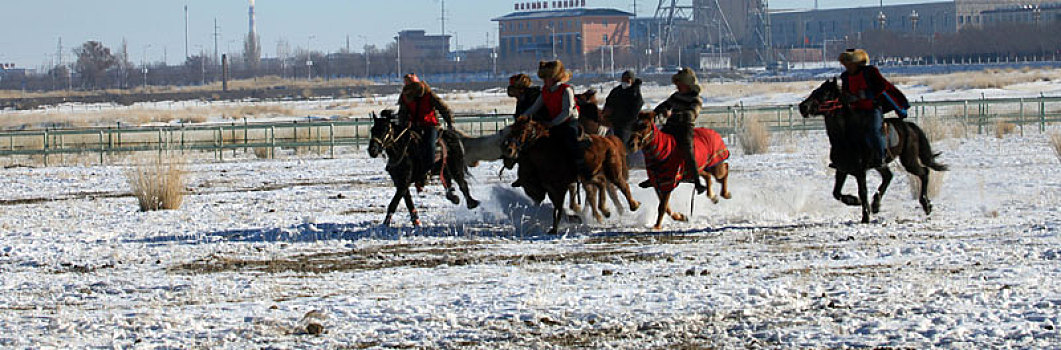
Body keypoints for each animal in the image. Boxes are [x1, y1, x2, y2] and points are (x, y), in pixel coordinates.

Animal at [498, 117, 636, 235]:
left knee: (623, 187)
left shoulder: (560, 187)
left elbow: (558, 209)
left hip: (612, 173)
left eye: (522, 131)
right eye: (512, 130)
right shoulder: (552, 189)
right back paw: (605, 211)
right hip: (592, 175)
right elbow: (558, 208)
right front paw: (560, 225)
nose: (508, 150)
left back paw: (632, 206)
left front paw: (556, 228)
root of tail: (609, 140)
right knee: (602, 185)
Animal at [797, 78, 950, 222]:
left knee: (924, 172)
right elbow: (836, 193)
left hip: (908, 160)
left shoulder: (860, 172)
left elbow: (862, 192)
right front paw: (854, 201)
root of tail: (909, 126)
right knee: (888, 176)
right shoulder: (841, 170)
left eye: (824, 94)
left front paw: (865, 217)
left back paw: (926, 204)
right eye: (815, 91)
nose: (802, 107)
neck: (846, 138)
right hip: (881, 164)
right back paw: (876, 204)